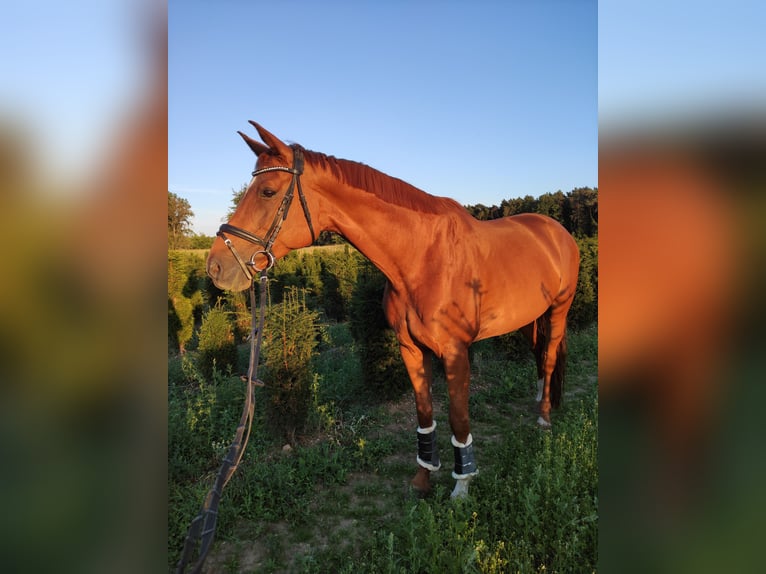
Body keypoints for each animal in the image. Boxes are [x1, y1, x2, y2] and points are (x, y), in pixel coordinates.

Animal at [207, 121, 580, 500]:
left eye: (267, 191)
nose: (216, 267)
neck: (422, 258)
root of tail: (556, 231)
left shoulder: (456, 352)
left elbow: (458, 417)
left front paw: (462, 485)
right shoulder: (411, 349)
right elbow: (424, 414)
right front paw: (423, 478)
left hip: (559, 310)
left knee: (550, 355)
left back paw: (544, 416)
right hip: (528, 318)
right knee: (538, 354)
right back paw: (539, 399)